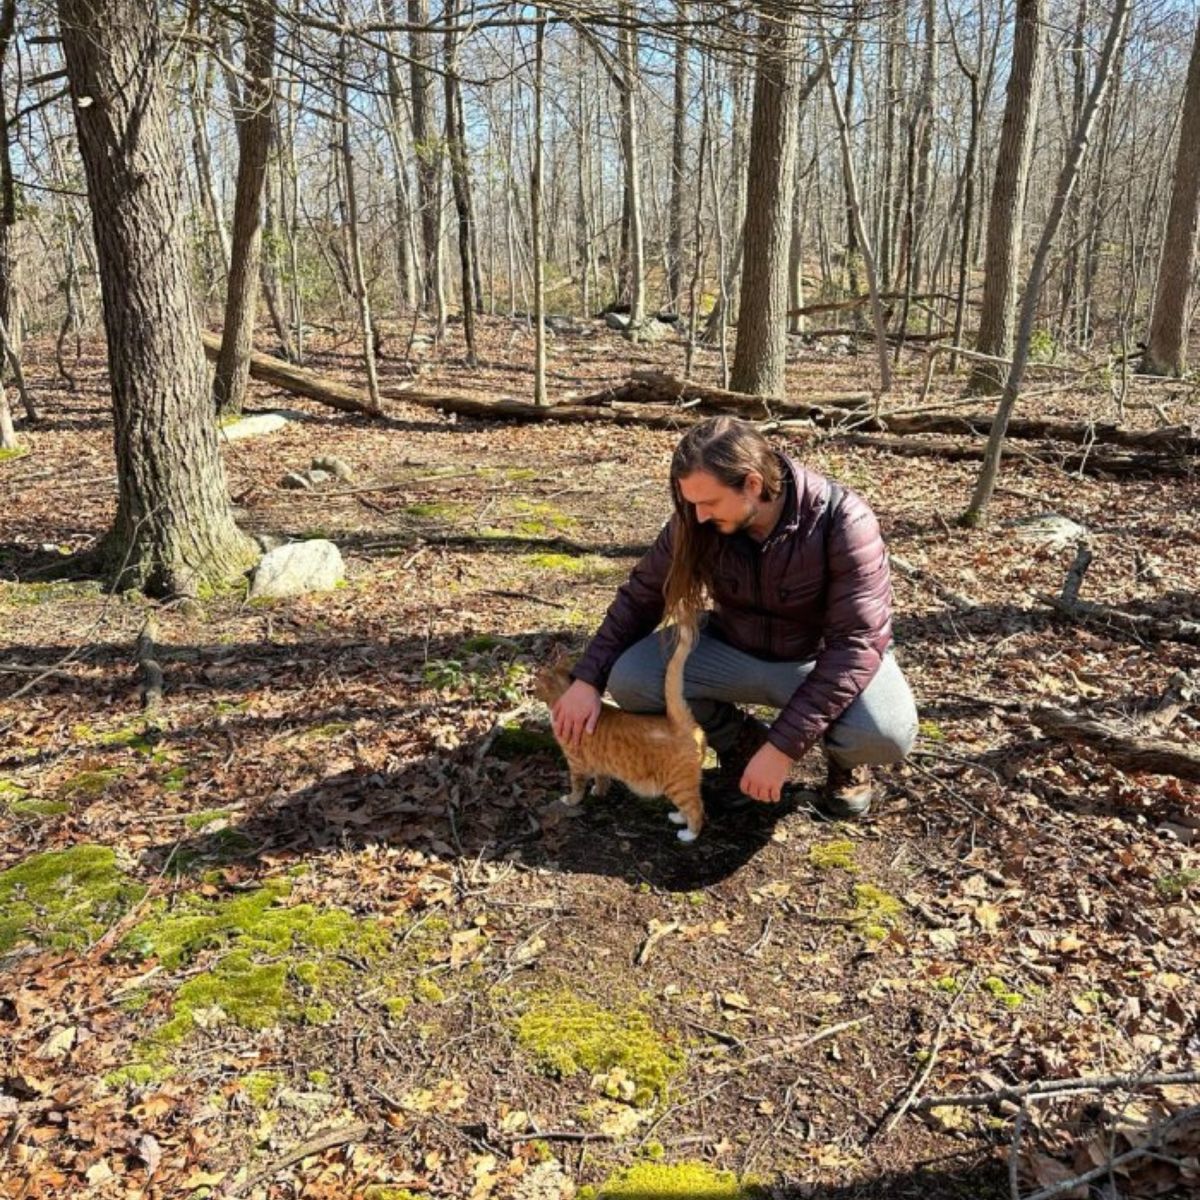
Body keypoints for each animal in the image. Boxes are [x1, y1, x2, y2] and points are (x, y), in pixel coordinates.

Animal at [532, 624, 705, 840]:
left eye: (536, 685)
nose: (529, 689)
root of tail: (678, 723)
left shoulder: (576, 763)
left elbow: (577, 786)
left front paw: (570, 800)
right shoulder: (598, 762)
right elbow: (601, 778)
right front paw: (598, 791)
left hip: (678, 784)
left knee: (696, 808)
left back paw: (688, 834)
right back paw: (678, 817)